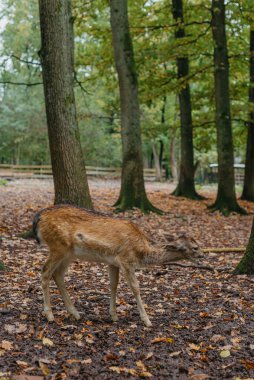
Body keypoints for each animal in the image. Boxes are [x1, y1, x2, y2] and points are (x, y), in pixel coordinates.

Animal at [32, 205, 202, 326]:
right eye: (195, 247)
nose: (203, 257)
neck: (141, 251)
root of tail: (38, 217)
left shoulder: (113, 262)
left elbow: (113, 284)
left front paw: (113, 315)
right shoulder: (126, 260)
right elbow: (135, 287)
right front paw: (147, 320)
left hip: (68, 253)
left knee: (58, 274)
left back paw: (75, 313)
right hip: (58, 246)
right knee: (45, 271)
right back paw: (50, 315)